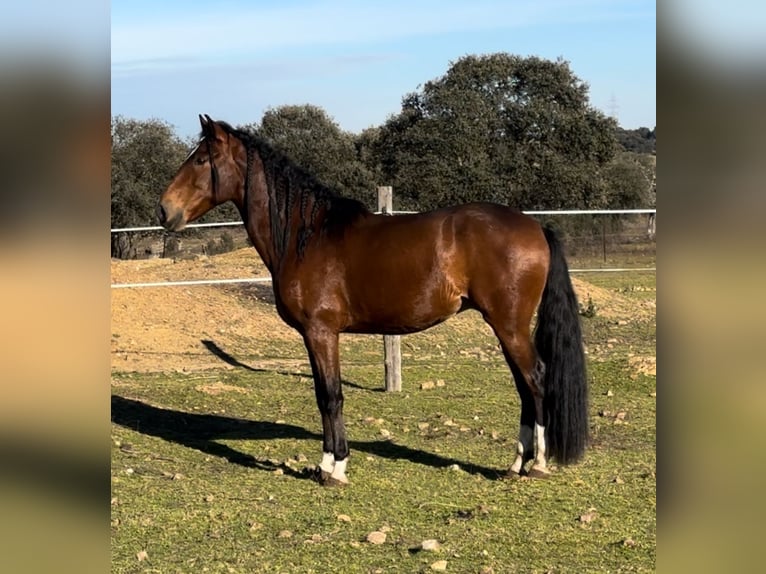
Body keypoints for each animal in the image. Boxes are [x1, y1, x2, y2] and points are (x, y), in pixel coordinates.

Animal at [154, 116, 588, 486]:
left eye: (201, 159)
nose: (164, 210)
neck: (306, 235)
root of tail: (536, 226)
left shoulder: (321, 332)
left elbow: (331, 396)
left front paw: (336, 468)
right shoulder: (314, 336)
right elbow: (322, 395)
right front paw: (325, 463)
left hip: (509, 325)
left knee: (536, 380)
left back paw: (538, 464)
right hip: (505, 327)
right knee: (524, 387)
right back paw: (515, 463)